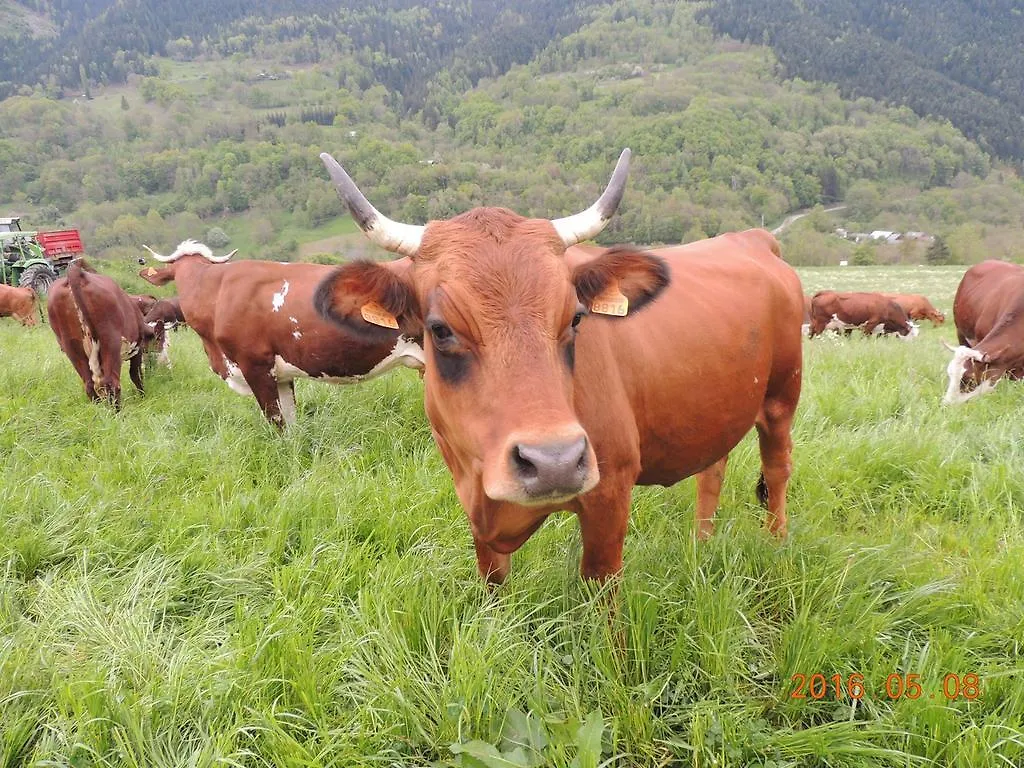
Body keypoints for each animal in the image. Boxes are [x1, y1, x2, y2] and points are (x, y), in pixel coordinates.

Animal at [311, 148, 806, 581]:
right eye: (440, 329)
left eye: (575, 317)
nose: (554, 462)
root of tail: (754, 238)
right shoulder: (475, 503)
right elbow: (493, 584)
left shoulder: (610, 490)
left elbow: (601, 588)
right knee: (712, 470)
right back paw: (701, 545)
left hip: (783, 397)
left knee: (777, 469)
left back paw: (779, 545)